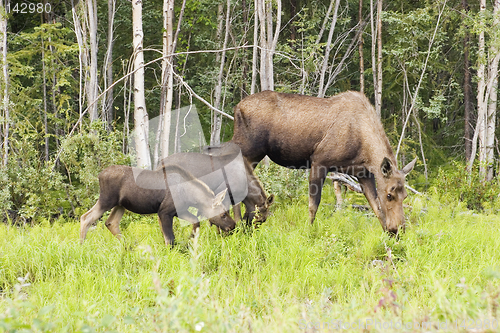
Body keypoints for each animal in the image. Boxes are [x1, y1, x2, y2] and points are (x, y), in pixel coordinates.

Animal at [79, 162, 235, 245]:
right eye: (223, 214)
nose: (233, 226)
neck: (191, 195)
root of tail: (99, 175)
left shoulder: (178, 211)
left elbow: (195, 222)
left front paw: (190, 239)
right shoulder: (165, 212)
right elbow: (170, 239)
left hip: (120, 205)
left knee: (111, 222)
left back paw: (127, 245)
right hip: (107, 200)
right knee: (86, 217)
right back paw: (81, 245)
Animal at [232, 88, 416, 233]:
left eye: (405, 196)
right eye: (390, 195)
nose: (398, 229)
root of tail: (237, 107)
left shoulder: (362, 173)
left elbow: (376, 207)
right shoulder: (319, 162)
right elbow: (313, 205)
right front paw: (308, 232)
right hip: (247, 150)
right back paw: (236, 224)